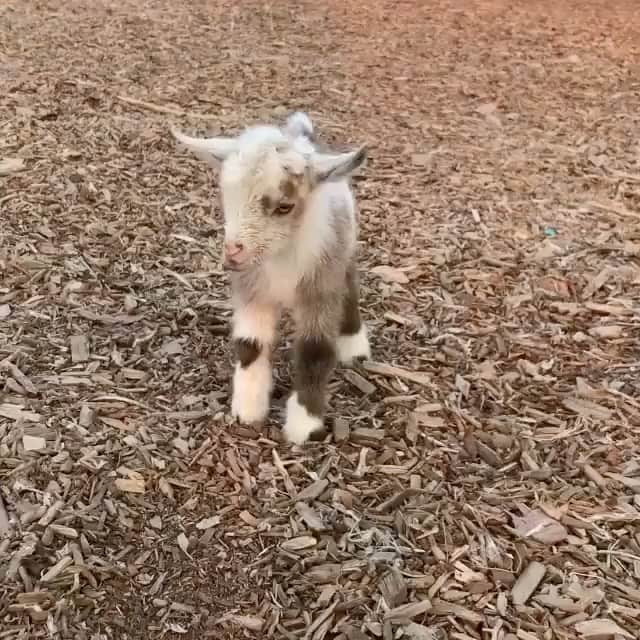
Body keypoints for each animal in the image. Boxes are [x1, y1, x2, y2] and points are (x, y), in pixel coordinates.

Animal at [171, 112, 370, 444]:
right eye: (227, 197)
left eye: (284, 206)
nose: (232, 254)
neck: (281, 259)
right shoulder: (253, 290)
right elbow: (250, 345)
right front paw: (248, 410)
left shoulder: (320, 288)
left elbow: (316, 350)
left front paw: (304, 425)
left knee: (351, 284)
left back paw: (355, 347)